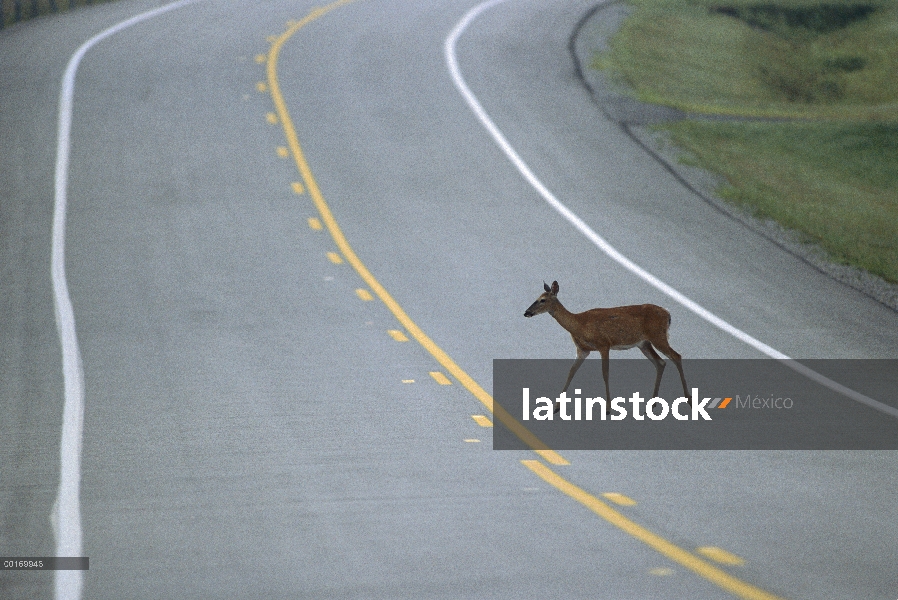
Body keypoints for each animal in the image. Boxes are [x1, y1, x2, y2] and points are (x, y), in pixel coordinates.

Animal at [524, 282, 688, 408]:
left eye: (542, 300)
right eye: (536, 298)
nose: (526, 312)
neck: (579, 325)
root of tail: (668, 314)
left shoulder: (603, 344)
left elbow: (605, 373)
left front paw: (608, 408)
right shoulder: (582, 350)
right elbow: (571, 372)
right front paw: (555, 407)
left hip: (657, 336)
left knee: (676, 356)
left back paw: (688, 398)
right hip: (644, 343)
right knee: (660, 363)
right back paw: (653, 403)